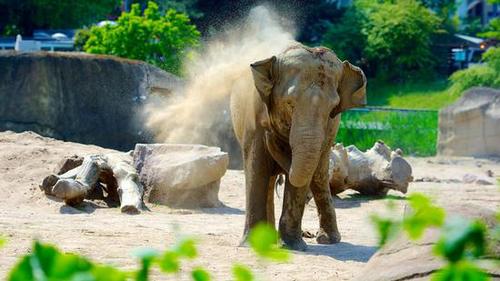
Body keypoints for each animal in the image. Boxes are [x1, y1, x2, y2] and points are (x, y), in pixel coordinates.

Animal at [230, 43, 368, 249]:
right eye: (290, 103)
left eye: (332, 108)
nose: (270, 135)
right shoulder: (253, 120)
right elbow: (257, 168)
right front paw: (251, 245)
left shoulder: (329, 128)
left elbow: (303, 175)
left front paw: (292, 246)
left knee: (318, 176)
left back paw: (327, 240)